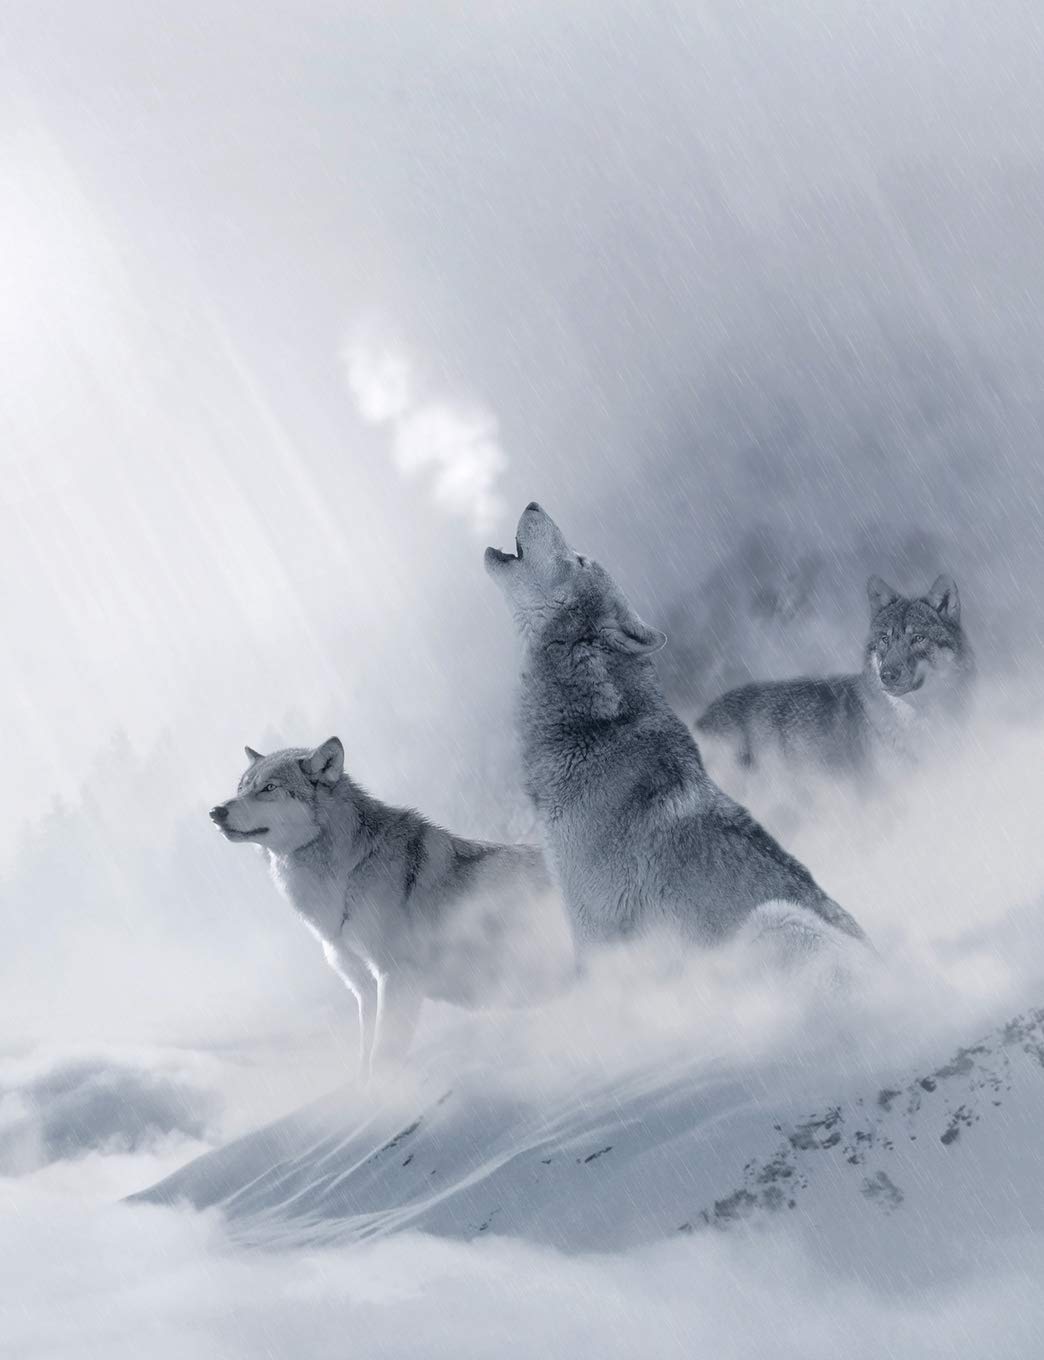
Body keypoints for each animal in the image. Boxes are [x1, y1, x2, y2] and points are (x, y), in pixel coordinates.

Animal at [210, 738, 566, 1076]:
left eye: (268, 788)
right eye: (241, 788)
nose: (216, 812)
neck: (348, 875)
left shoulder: (396, 978)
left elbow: (383, 1059)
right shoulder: (365, 990)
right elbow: (365, 1062)